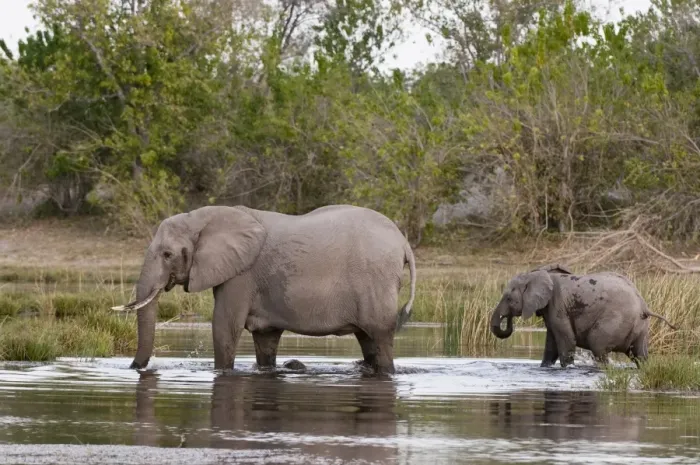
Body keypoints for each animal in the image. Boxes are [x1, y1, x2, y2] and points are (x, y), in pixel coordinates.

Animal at [113, 204, 417, 375]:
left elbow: (224, 326)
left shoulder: (241, 274)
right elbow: (265, 338)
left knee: (380, 337)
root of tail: (403, 242)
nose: (135, 367)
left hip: (375, 281)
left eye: (167, 255)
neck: (203, 218)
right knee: (368, 340)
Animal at [490, 264, 677, 368]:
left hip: (616, 320)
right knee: (640, 355)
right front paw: (544, 367)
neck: (538, 274)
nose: (507, 319)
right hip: (640, 327)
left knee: (598, 345)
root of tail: (644, 306)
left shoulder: (558, 306)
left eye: (508, 298)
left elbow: (566, 342)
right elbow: (551, 347)